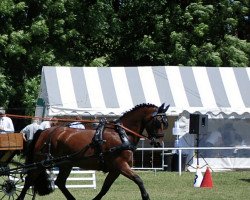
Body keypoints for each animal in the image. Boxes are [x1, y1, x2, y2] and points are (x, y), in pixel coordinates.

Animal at [17, 103, 170, 200]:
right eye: (158, 122)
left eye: (166, 123)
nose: (158, 142)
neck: (121, 134)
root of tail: (44, 131)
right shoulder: (120, 165)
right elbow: (138, 179)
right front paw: (146, 196)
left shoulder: (115, 170)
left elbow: (104, 189)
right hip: (41, 163)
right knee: (29, 180)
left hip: (66, 163)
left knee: (60, 182)